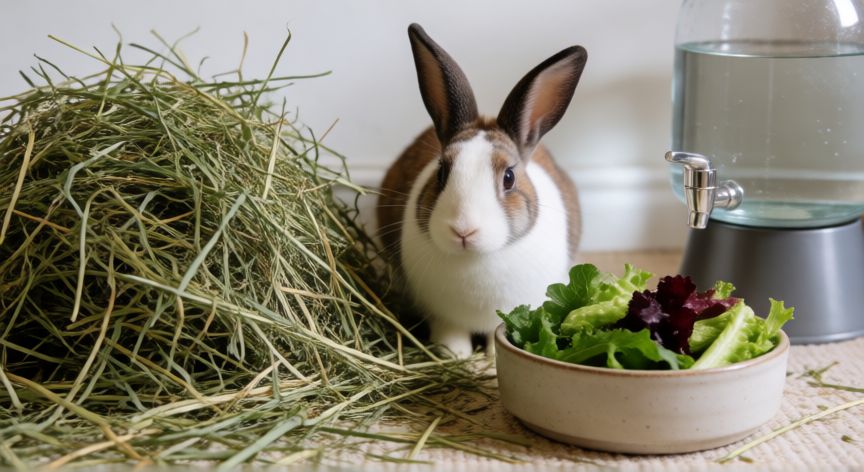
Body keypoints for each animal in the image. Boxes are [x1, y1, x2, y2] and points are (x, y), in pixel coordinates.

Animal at [377, 23, 586, 358]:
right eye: (441, 172)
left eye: (509, 177)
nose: (463, 230)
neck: (475, 259)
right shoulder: (442, 316)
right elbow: (452, 336)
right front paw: (460, 358)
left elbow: (494, 339)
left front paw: (488, 360)